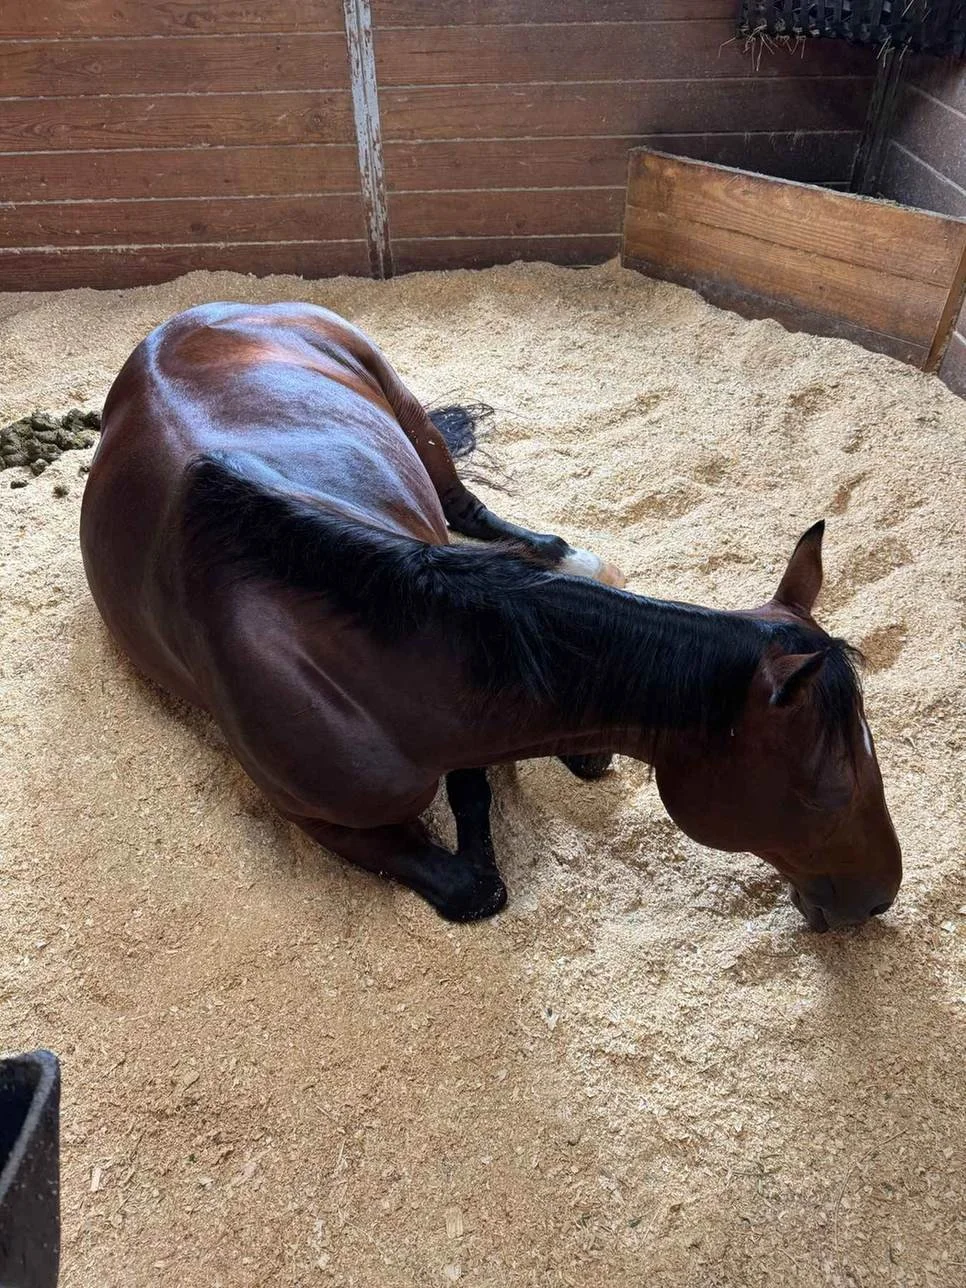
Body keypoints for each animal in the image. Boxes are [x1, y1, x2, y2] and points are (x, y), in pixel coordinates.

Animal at [79, 302, 902, 933]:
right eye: (829, 789)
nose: (879, 897)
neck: (352, 667)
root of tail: (193, 314)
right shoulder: (319, 820)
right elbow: (475, 886)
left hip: (406, 413)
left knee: (469, 509)